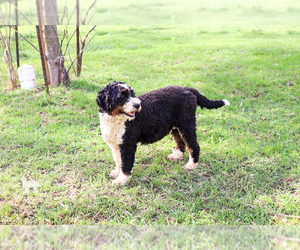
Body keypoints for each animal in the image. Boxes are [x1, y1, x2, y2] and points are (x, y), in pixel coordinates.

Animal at [96, 81, 230, 185]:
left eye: (132, 94)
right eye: (122, 96)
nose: (138, 105)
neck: (117, 120)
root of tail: (186, 88)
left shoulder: (128, 145)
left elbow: (126, 164)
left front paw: (122, 180)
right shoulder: (116, 144)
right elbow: (118, 161)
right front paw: (116, 173)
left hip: (187, 125)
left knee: (193, 145)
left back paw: (192, 164)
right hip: (176, 127)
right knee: (180, 142)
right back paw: (177, 156)